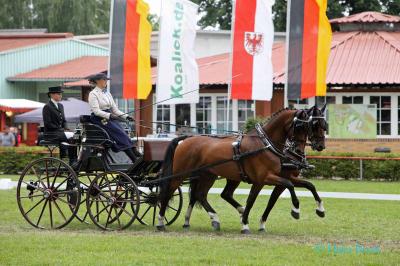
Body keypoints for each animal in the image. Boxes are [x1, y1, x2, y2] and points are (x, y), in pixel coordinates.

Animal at [156, 106, 324, 233]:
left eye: (323, 125)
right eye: (303, 126)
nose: (320, 146)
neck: (265, 145)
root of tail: (186, 139)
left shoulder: (270, 180)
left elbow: (309, 185)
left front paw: (320, 210)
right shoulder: (264, 178)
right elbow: (280, 190)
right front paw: (295, 210)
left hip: (208, 175)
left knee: (201, 194)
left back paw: (212, 219)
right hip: (179, 175)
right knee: (168, 192)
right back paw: (160, 222)